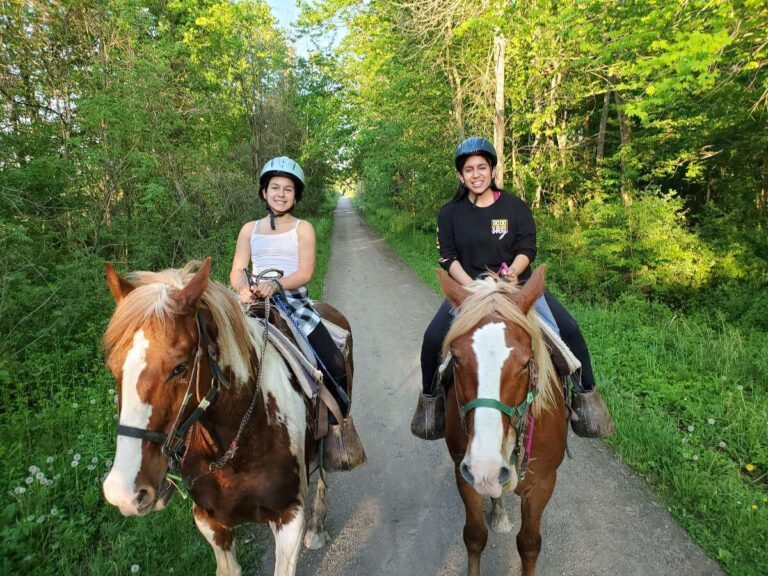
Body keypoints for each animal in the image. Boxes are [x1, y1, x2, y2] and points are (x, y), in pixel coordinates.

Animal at [101, 260, 348, 576]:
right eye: (113, 366)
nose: (123, 493)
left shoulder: (289, 519)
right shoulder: (210, 521)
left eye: (180, 368)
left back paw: (317, 529)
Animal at [438, 266, 564, 576]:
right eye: (455, 358)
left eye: (526, 363)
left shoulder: (543, 483)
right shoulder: (464, 474)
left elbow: (529, 544)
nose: (486, 466)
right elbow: (474, 536)